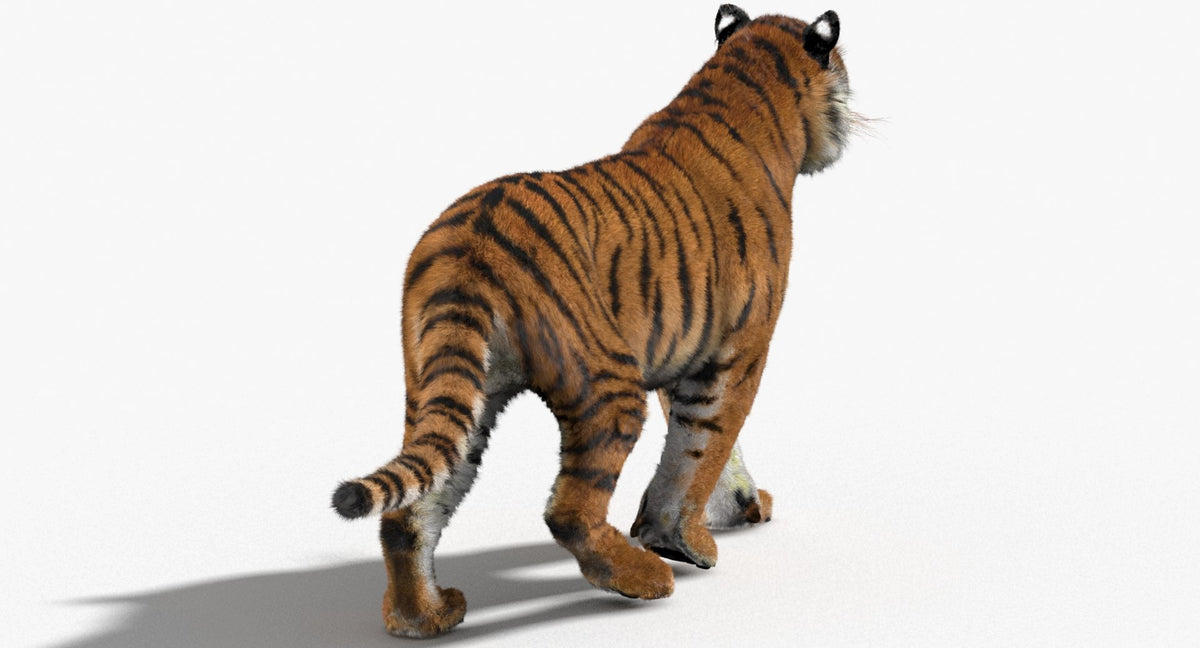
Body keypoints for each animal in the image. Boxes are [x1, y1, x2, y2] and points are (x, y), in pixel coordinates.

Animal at [332, 4, 853, 638]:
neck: (740, 86)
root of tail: (471, 240)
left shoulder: (683, 346)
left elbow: (706, 447)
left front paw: (735, 508)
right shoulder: (738, 349)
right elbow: (702, 449)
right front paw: (685, 541)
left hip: (452, 388)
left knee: (410, 510)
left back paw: (423, 617)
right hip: (607, 385)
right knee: (568, 509)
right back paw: (644, 577)